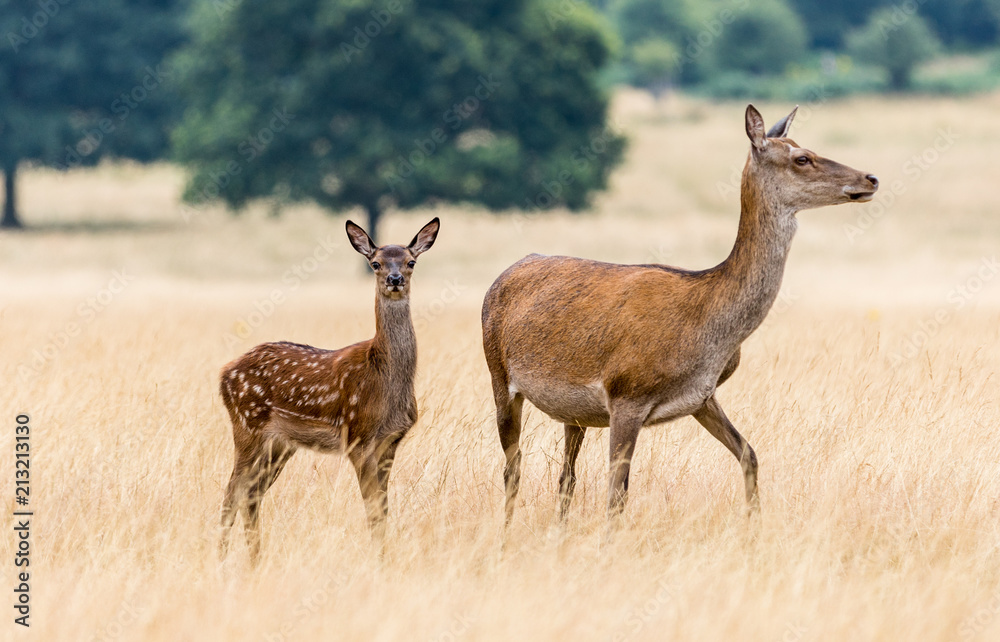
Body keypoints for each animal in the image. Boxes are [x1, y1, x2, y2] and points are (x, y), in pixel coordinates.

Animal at [218, 217, 440, 564]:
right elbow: (373, 511)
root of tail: (224, 374)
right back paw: (222, 558)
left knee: (252, 493)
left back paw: (256, 559)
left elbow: (384, 509)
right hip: (246, 425)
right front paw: (378, 561)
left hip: (280, 443)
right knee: (232, 492)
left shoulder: (390, 442)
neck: (384, 377)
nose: (395, 280)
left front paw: (385, 557)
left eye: (411, 262)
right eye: (375, 263)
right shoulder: (358, 436)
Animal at [482, 105, 878, 530]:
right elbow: (617, 493)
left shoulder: (702, 397)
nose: (870, 178)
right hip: (498, 374)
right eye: (801, 158)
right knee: (513, 467)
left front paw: (754, 528)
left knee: (565, 475)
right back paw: (506, 532)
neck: (708, 329)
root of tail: (504, 274)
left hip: (574, 413)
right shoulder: (626, 393)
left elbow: (750, 455)